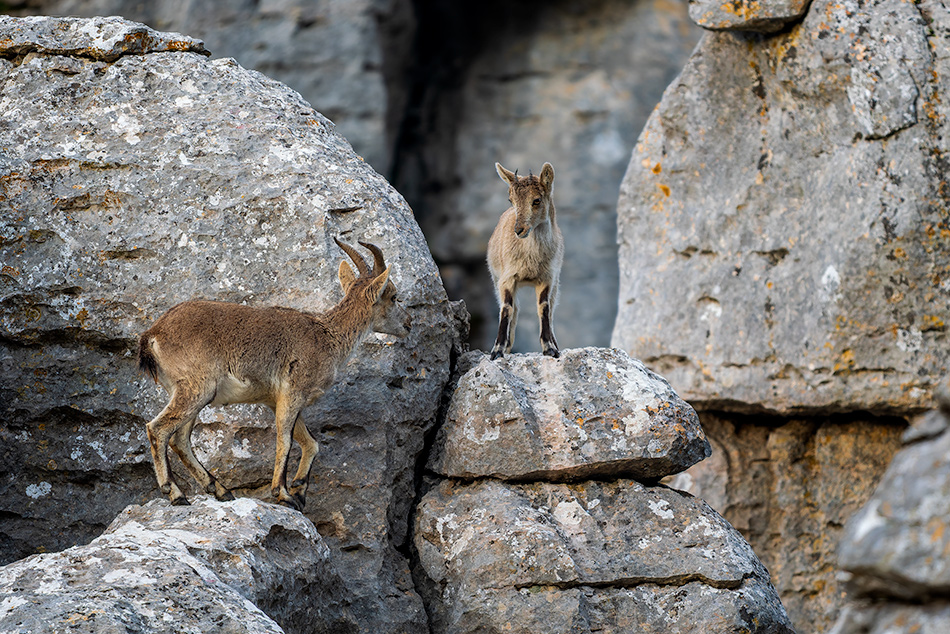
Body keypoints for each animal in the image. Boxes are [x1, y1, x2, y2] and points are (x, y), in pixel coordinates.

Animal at [137, 239, 410, 511]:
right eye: (394, 296)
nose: (408, 323)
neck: (328, 336)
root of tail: (153, 334)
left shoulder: (275, 399)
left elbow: (310, 442)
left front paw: (299, 490)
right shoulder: (293, 392)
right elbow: (285, 440)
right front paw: (283, 493)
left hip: (189, 392)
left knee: (180, 439)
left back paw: (221, 490)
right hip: (197, 388)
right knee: (158, 429)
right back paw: (176, 493)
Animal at [487, 161, 564, 360]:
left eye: (536, 200)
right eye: (511, 200)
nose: (519, 230)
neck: (531, 258)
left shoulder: (547, 278)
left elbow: (544, 308)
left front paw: (550, 348)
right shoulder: (507, 278)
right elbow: (507, 309)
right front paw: (497, 351)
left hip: (557, 283)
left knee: (552, 311)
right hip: (496, 279)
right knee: (515, 309)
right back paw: (507, 346)